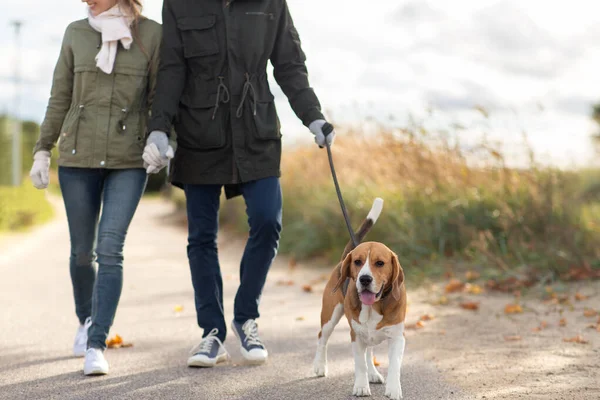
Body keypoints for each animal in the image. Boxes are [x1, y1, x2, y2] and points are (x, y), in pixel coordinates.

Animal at [312, 198, 406, 398]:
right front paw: (361, 387)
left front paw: (393, 389)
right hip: (330, 316)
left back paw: (373, 373)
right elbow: (360, 364)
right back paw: (319, 366)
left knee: (369, 352)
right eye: (357, 262)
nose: (364, 279)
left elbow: (394, 366)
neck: (374, 306)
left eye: (380, 263)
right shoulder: (355, 336)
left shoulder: (397, 337)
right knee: (322, 338)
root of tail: (343, 259)